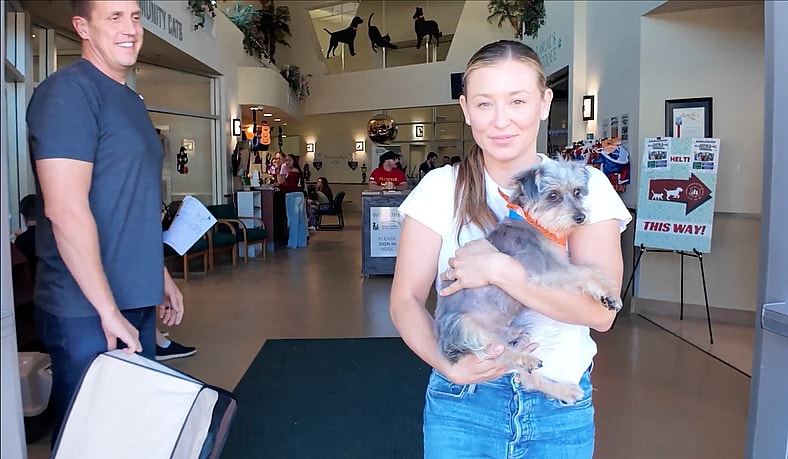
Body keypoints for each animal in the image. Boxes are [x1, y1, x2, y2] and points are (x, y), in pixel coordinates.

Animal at [435, 160, 622, 404]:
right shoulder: (547, 268)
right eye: (553, 195)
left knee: (527, 377)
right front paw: (610, 294)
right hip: (465, 327)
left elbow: (590, 268)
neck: (536, 224)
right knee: (495, 352)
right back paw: (523, 358)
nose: (580, 217)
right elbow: (584, 272)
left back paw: (562, 388)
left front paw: (607, 293)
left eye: (577, 192)